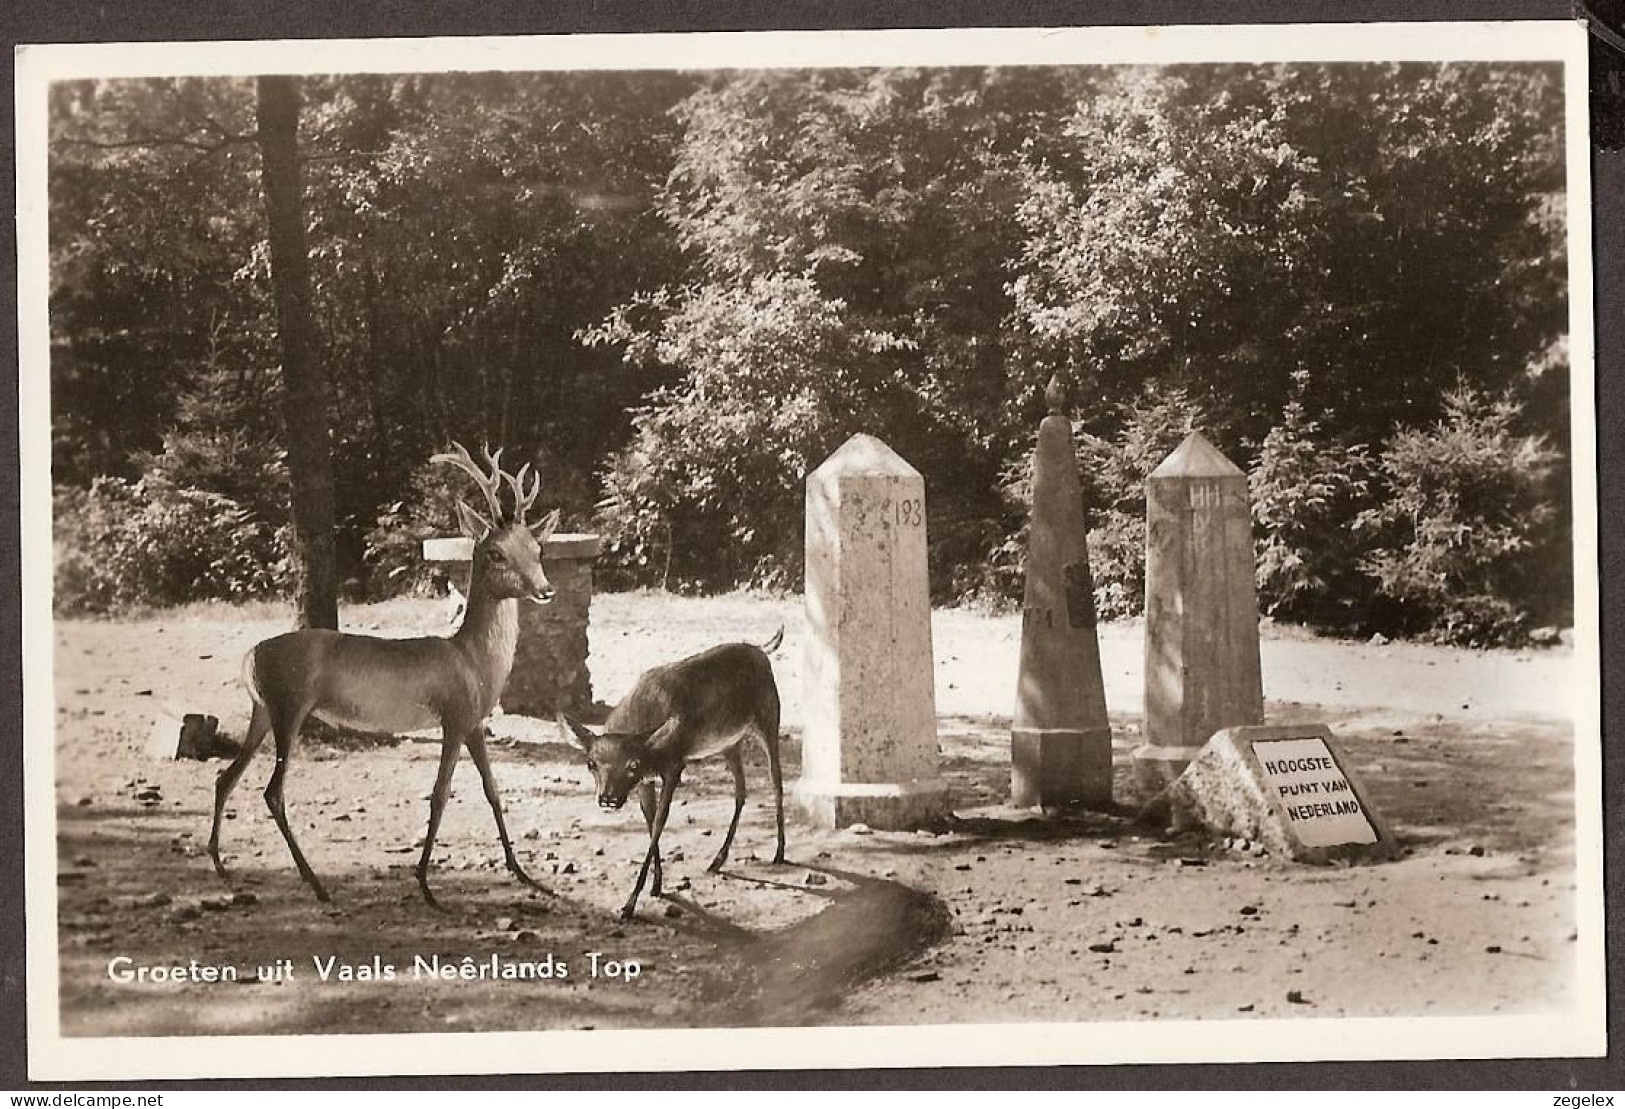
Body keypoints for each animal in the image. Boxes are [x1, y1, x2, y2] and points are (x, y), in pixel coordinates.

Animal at [206, 439, 562, 904]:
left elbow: (493, 790)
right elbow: (440, 795)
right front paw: (426, 885)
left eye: (537, 549)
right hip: (289, 708)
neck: (473, 661)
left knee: (225, 776)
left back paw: (220, 863)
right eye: (496, 553)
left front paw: (525, 875)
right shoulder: (453, 717)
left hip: (262, 712)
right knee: (272, 791)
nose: (546, 589)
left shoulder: (475, 722)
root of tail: (248, 658)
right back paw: (316, 883)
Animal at [559, 627, 786, 917]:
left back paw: (779, 853)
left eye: (633, 764)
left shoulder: (675, 766)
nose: (608, 798)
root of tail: (761, 650)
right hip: (729, 742)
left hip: (769, 716)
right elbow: (650, 820)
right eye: (591, 763)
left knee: (776, 780)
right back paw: (717, 860)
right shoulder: (646, 781)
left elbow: (660, 821)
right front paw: (656, 885)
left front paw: (630, 903)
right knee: (741, 790)